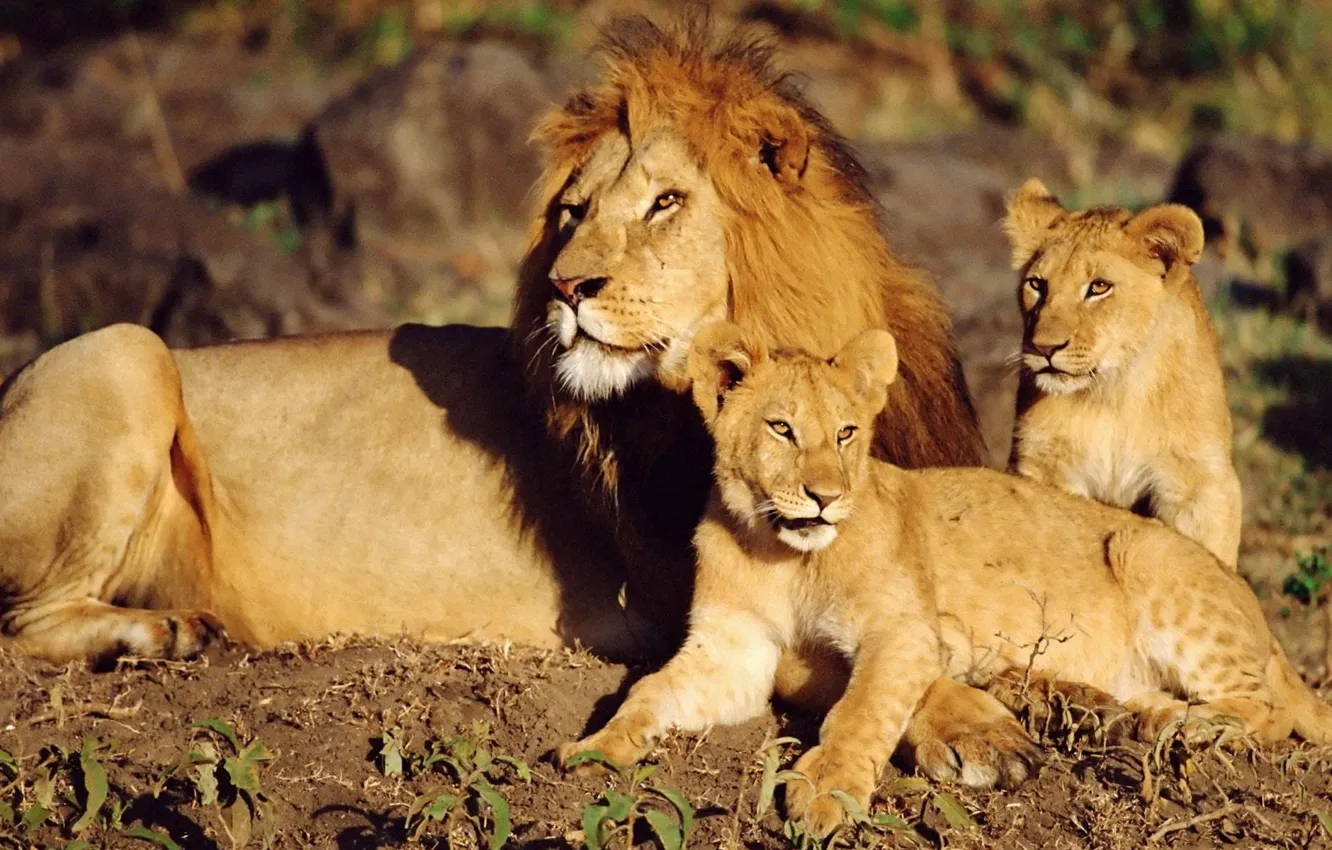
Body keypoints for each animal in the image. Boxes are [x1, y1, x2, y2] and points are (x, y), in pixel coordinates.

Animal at [0, 13, 983, 678]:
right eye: (573, 213)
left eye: (665, 203)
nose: (567, 287)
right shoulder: (695, 593)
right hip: (124, 349)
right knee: (23, 622)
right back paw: (161, 631)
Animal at [560, 322, 1332, 838]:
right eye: (781, 429)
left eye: (846, 434)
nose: (824, 497)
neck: (783, 554)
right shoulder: (734, 650)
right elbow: (650, 691)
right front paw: (596, 750)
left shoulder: (903, 630)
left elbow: (863, 709)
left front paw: (828, 792)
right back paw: (1126, 717)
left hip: (1148, 555)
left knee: (1266, 710)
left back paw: (1189, 730)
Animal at [1004, 179, 1242, 567]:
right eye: (1037, 284)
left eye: (1099, 287)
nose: (1043, 348)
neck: (1114, 392)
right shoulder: (1042, 464)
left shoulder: (1200, 481)